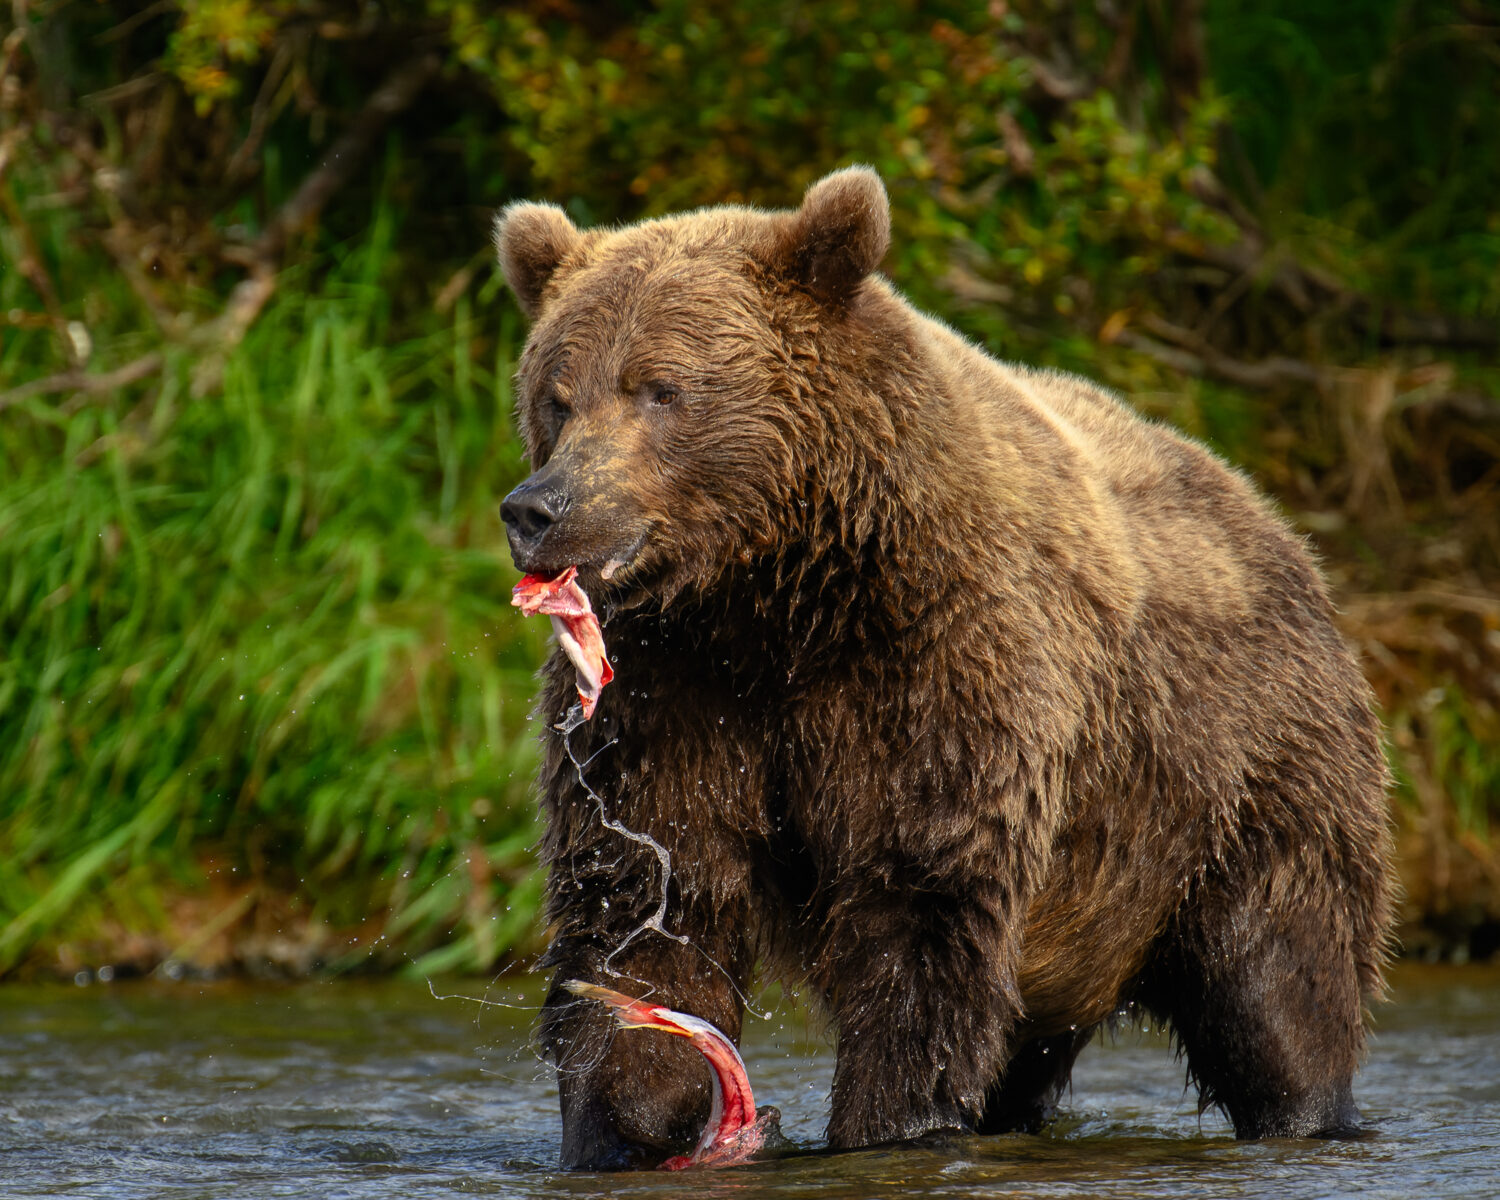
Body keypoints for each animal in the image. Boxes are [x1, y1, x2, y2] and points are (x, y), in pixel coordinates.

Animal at [492, 166, 1395, 1170]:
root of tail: (1272, 517)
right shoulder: (673, 689)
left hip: (1240, 776)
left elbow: (918, 905)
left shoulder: (932, 657)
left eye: (661, 389)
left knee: (1280, 980)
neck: (776, 591)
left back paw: (1307, 1106)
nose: (538, 508)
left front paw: (888, 1124)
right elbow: (648, 894)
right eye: (557, 395)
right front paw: (635, 1115)